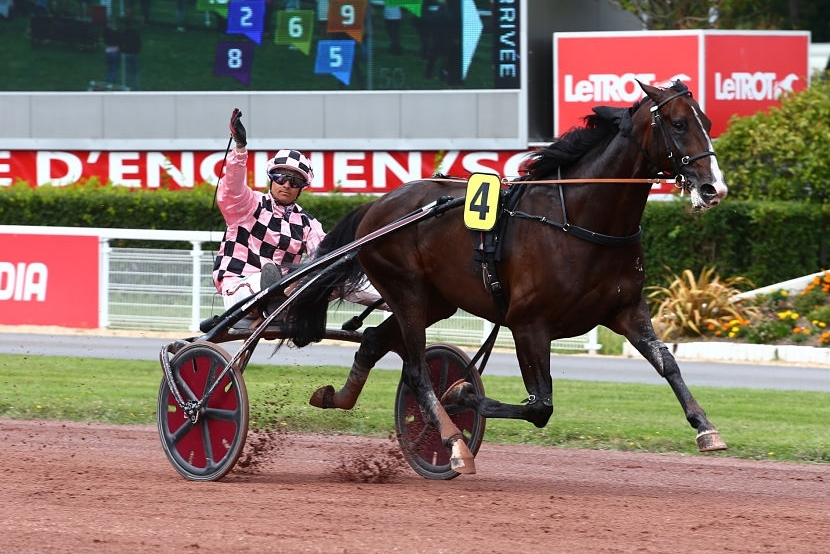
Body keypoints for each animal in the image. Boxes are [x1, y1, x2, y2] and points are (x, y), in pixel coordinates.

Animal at [288, 80, 728, 472]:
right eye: (677, 124)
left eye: (706, 120)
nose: (714, 189)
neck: (580, 220)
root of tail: (378, 205)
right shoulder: (528, 324)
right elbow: (540, 405)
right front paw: (461, 392)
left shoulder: (627, 311)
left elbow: (667, 363)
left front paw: (706, 428)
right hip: (406, 291)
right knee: (415, 370)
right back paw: (452, 441)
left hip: (436, 301)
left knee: (376, 340)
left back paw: (336, 397)